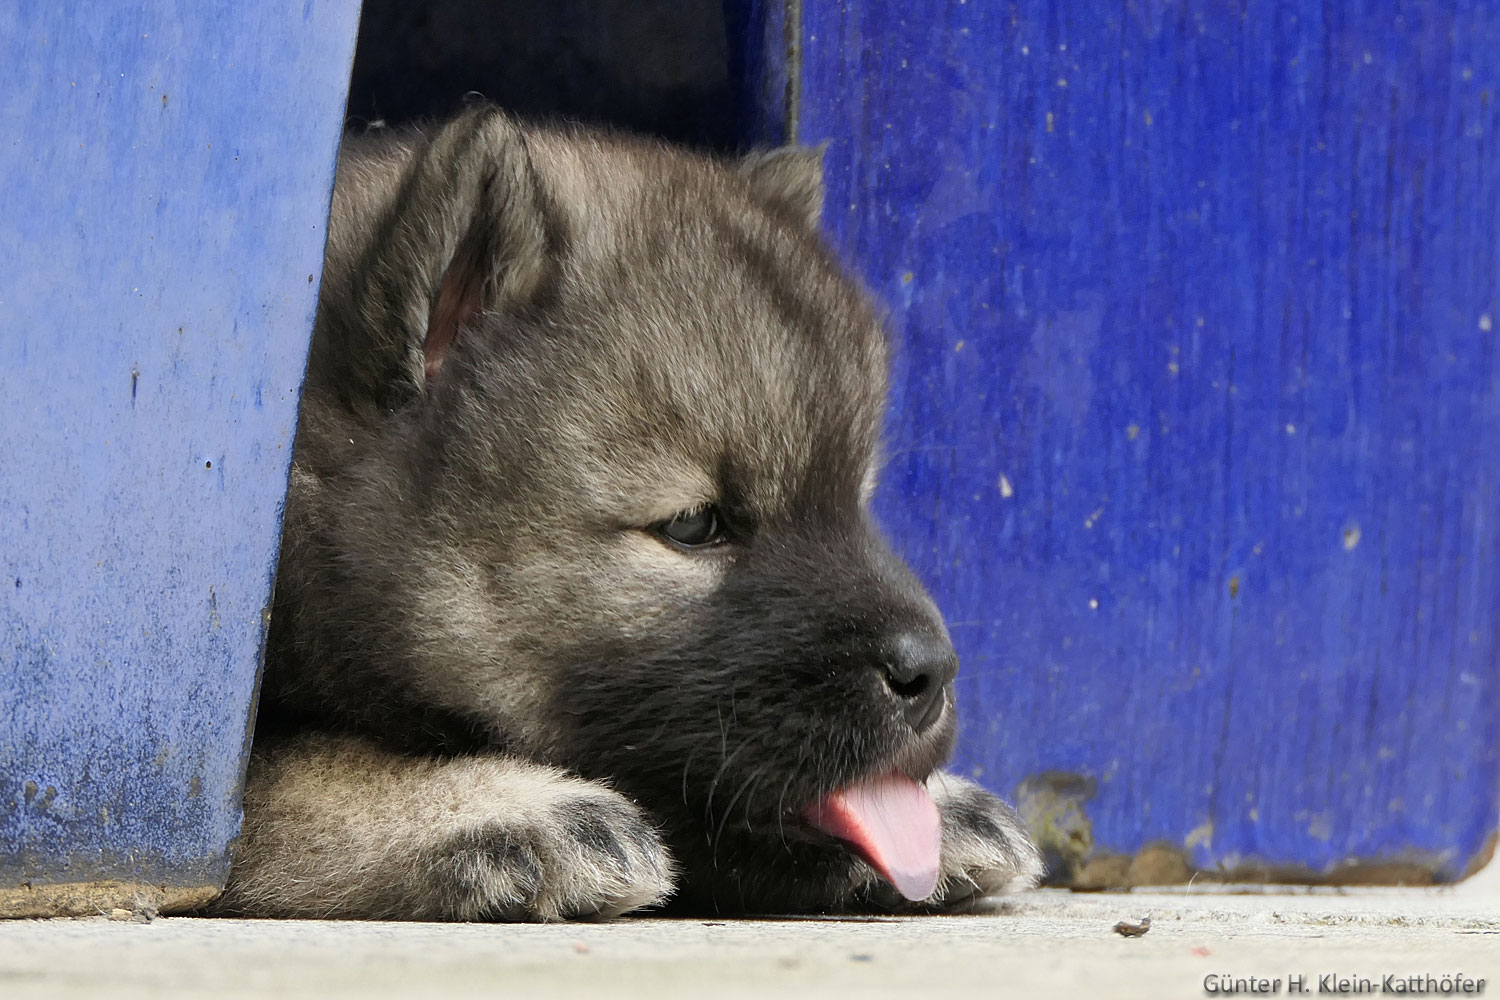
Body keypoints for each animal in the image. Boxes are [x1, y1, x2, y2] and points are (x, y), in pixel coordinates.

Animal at [212, 105, 1041, 920]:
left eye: (855, 504)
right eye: (694, 525)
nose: (933, 672)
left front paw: (947, 805)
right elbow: (299, 774)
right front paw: (507, 807)